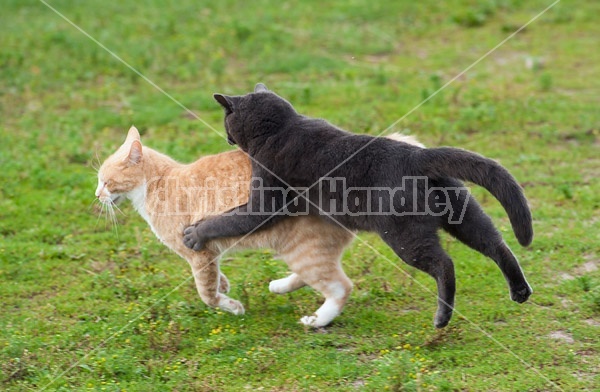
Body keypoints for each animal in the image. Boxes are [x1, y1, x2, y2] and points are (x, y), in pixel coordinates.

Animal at [96, 126, 420, 328]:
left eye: (106, 182)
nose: (97, 195)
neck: (159, 182)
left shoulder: (198, 254)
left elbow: (206, 294)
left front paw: (232, 305)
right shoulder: (209, 254)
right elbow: (214, 278)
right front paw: (225, 285)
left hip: (301, 248)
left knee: (340, 286)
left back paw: (316, 320)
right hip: (301, 250)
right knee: (319, 275)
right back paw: (280, 286)